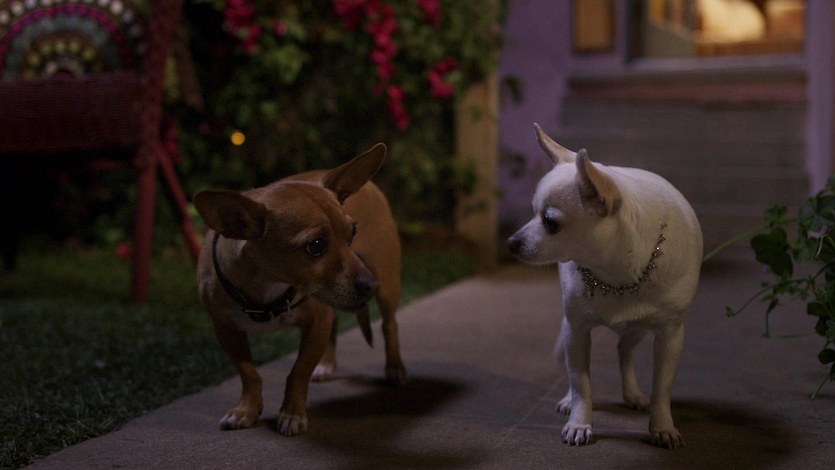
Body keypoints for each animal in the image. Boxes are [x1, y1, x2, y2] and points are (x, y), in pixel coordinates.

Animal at [193, 143, 405, 436]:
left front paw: (292, 413)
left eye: (352, 231)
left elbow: (298, 370)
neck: (268, 287)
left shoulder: (316, 323)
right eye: (315, 245)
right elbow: (249, 373)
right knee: (336, 325)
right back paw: (327, 364)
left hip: (386, 285)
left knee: (389, 325)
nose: (370, 284)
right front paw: (247, 410)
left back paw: (394, 367)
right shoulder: (226, 330)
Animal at [507, 124, 702, 448]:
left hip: (638, 328)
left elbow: (662, 387)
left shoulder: (671, 335)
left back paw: (633, 394)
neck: (615, 272)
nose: (511, 243)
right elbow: (581, 381)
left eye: (550, 222)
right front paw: (579, 422)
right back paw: (568, 400)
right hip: (574, 328)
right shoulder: (577, 330)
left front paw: (662, 426)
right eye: (532, 213)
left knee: (625, 349)